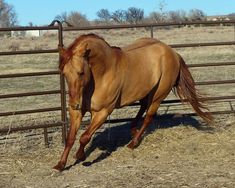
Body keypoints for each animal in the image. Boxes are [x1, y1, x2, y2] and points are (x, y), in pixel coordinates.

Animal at [53, 33, 213, 170]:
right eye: (64, 73)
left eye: (80, 72)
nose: (74, 103)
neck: (102, 73)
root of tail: (173, 53)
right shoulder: (77, 112)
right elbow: (70, 138)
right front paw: (60, 165)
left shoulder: (103, 112)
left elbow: (84, 137)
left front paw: (80, 156)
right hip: (147, 91)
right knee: (142, 107)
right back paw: (133, 129)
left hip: (158, 96)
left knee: (148, 116)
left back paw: (133, 143)